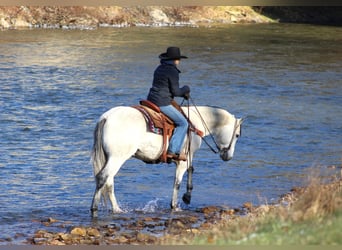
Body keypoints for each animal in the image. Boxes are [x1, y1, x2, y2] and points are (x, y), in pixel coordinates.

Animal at [89, 103, 242, 217]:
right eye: (237, 135)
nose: (228, 156)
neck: (195, 123)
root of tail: (106, 118)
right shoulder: (183, 161)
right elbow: (177, 182)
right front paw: (175, 205)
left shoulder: (189, 157)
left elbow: (191, 170)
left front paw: (187, 197)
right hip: (117, 158)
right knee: (103, 178)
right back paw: (95, 208)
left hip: (111, 158)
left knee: (108, 182)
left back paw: (116, 209)